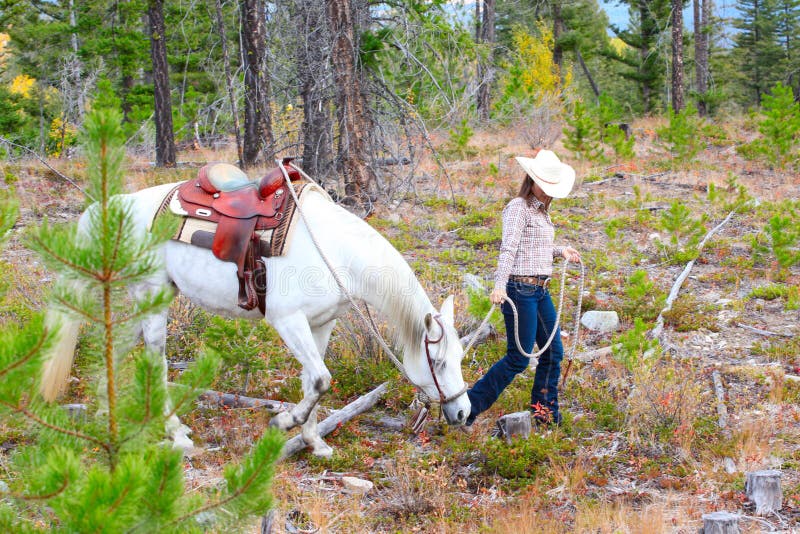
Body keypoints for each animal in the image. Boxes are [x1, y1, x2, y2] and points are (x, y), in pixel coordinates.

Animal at [40, 182, 472, 458]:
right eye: (437, 362)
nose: (463, 413)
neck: (337, 252)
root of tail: (113, 205)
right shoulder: (288, 321)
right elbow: (321, 379)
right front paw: (284, 422)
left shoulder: (321, 324)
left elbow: (313, 381)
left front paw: (314, 443)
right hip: (153, 296)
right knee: (154, 361)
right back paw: (176, 433)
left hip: (147, 296)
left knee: (115, 347)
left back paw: (105, 412)